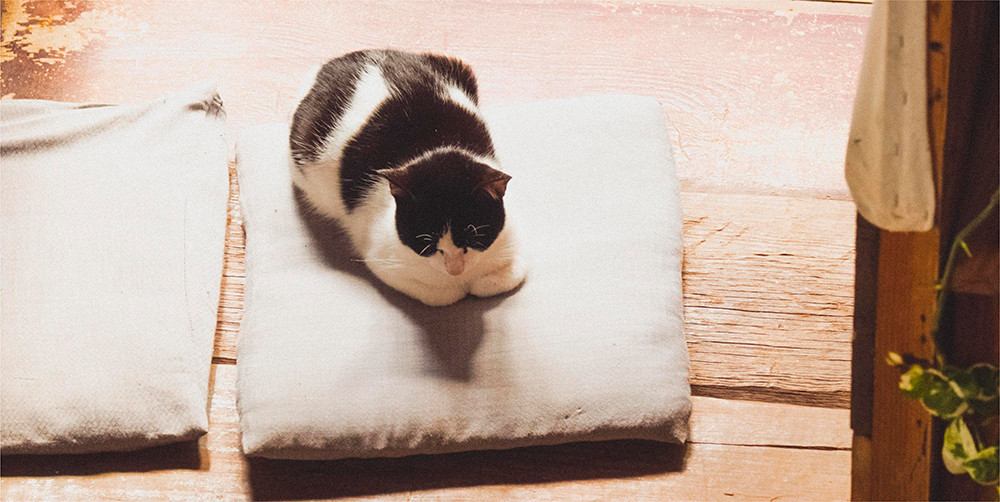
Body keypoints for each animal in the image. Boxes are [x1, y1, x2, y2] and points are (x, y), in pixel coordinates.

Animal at [288, 50, 524, 306]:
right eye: (427, 242)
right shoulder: (383, 261)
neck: (436, 146)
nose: (455, 268)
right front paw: (459, 289)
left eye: (474, 237)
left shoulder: (516, 244)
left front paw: (477, 283)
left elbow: (497, 282)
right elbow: (445, 295)